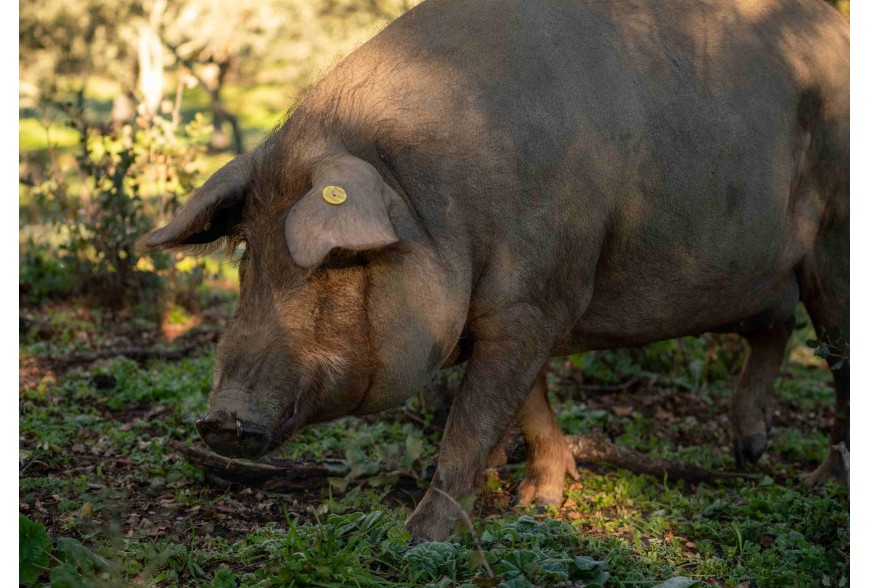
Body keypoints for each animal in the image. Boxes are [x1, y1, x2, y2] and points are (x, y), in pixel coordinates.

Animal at [140, 0, 856, 540]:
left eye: (337, 259)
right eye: (248, 254)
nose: (220, 420)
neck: (439, 200)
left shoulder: (534, 303)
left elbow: (472, 420)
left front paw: (421, 539)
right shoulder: (526, 308)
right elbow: (529, 403)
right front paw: (534, 503)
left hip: (837, 236)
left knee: (837, 351)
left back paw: (821, 482)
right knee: (775, 325)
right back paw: (749, 452)